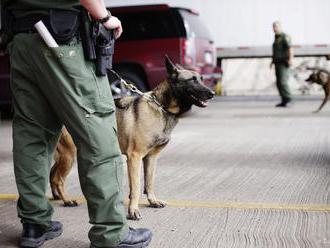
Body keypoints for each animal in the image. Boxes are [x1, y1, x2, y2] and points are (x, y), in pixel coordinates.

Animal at [49, 55, 214, 219]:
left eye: (201, 79)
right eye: (192, 80)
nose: (212, 93)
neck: (161, 106)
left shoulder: (151, 157)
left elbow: (149, 182)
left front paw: (152, 201)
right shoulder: (135, 157)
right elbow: (136, 187)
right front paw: (133, 210)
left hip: (63, 155)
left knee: (52, 174)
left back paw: (57, 196)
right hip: (69, 155)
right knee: (58, 179)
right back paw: (67, 200)